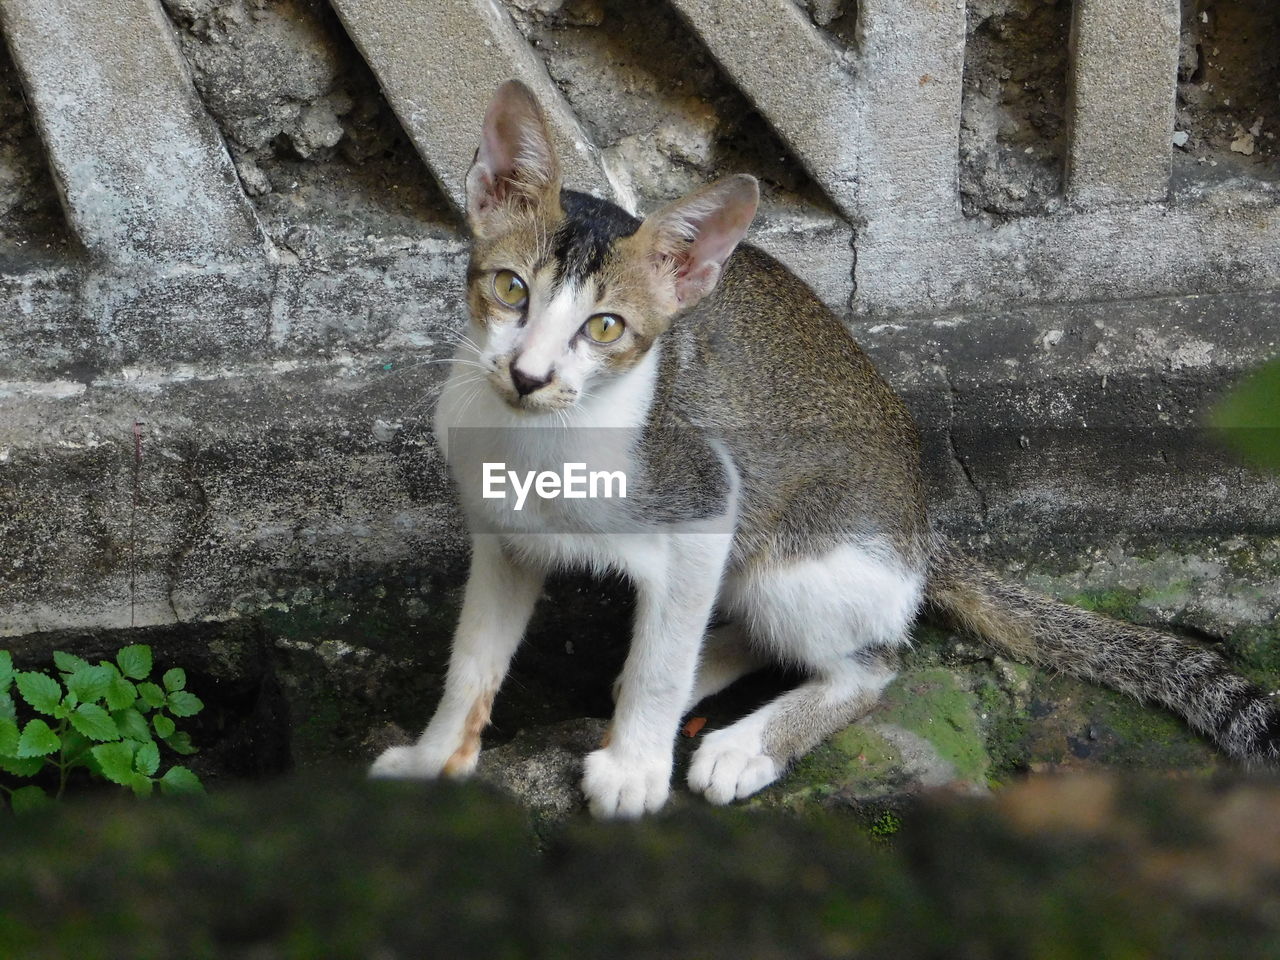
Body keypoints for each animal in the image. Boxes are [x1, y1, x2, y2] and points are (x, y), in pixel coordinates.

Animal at [371, 84, 1280, 819]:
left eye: (604, 328)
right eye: (510, 289)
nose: (528, 374)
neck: (541, 437)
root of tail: (921, 531)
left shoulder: (705, 498)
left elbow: (671, 646)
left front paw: (633, 767)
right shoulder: (503, 535)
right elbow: (473, 662)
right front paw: (433, 758)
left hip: (803, 555)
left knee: (869, 660)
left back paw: (747, 740)